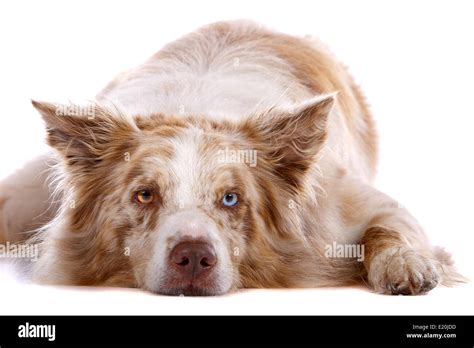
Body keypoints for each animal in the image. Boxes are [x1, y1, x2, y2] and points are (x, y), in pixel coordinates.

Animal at [0, 20, 462, 294]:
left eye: (230, 199)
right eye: (145, 195)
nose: (193, 258)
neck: (193, 108)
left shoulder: (356, 204)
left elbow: (386, 228)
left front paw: (405, 266)